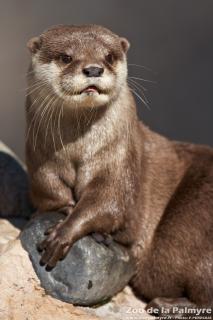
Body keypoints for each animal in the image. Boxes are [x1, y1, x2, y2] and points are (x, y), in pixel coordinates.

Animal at [25, 24, 213, 318]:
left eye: (109, 56)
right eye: (66, 57)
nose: (93, 69)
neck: (77, 148)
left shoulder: (119, 158)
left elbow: (109, 201)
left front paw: (66, 233)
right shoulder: (40, 160)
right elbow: (48, 192)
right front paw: (66, 209)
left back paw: (166, 304)